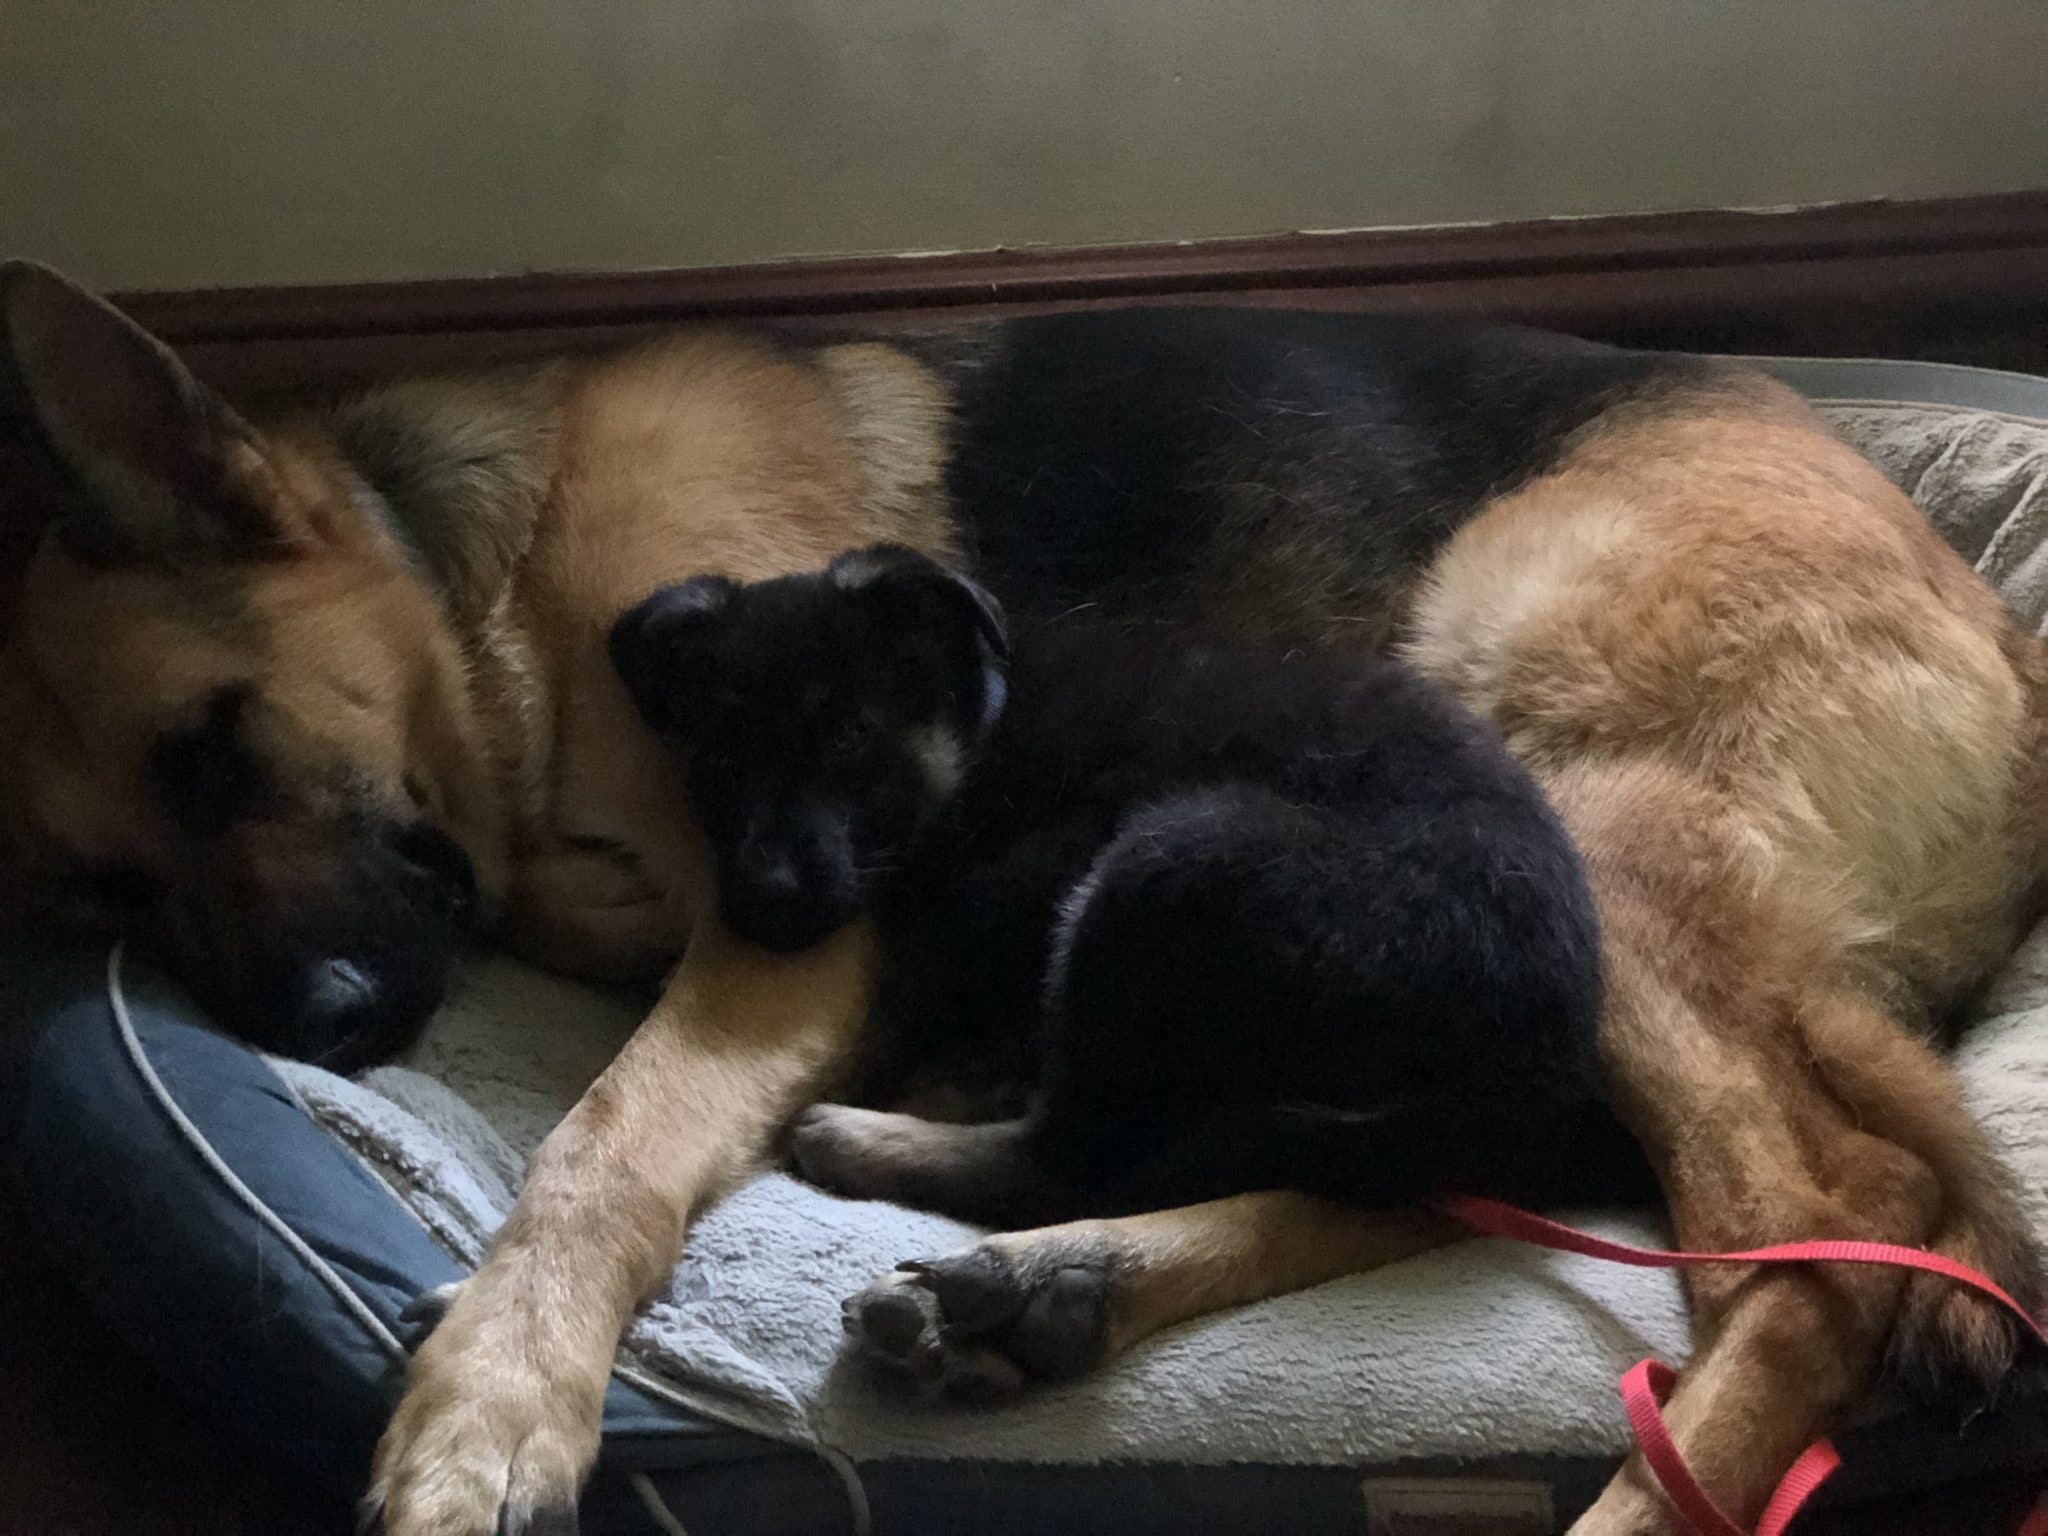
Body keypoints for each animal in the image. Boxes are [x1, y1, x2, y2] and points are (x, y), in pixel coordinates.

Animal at [606, 548, 1630, 1236]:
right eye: (720, 759)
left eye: (852, 737)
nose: (766, 898)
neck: (976, 738)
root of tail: (1532, 1073)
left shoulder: (1050, 862)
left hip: (1173, 859)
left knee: (1066, 1168)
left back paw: (872, 1137)